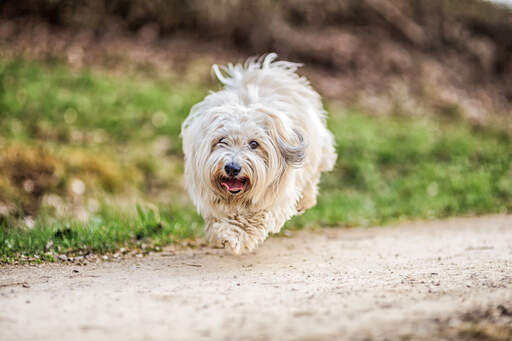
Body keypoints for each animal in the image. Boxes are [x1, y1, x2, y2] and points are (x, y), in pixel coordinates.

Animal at [182, 53, 338, 252]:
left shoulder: (275, 196)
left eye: (254, 144)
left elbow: (255, 215)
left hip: (318, 151)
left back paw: (306, 200)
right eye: (222, 141)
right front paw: (223, 232)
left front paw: (236, 234)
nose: (232, 168)